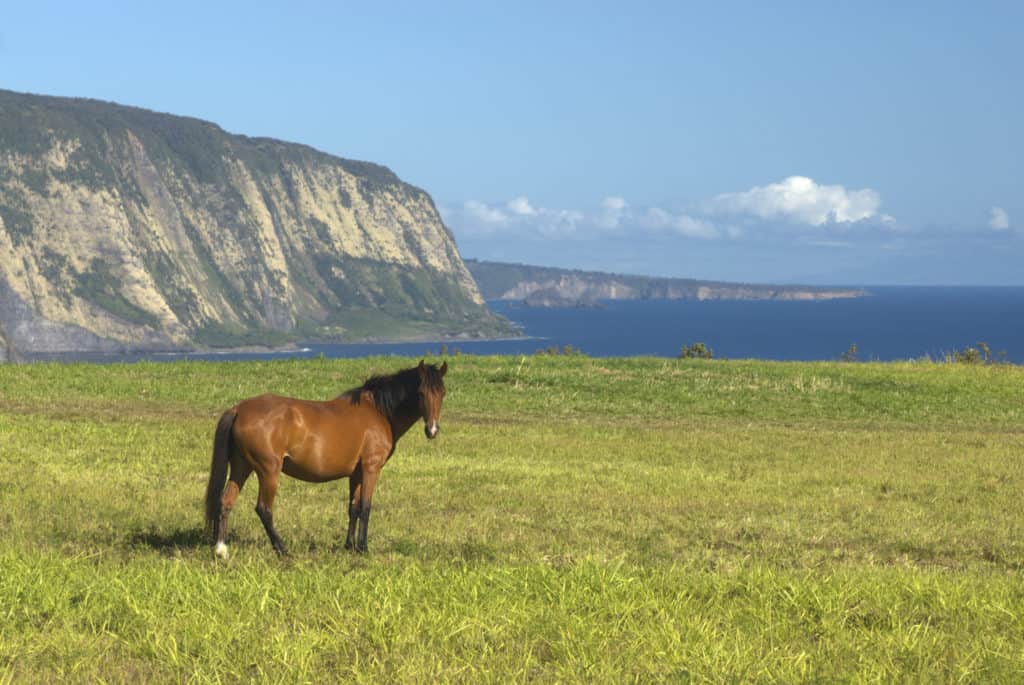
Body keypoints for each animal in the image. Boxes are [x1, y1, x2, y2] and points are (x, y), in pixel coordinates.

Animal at [204, 360, 447, 558]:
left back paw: (221, 549)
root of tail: (239, 409)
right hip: (268, 471)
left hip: (241, 467)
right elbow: (366, 507)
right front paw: (363, 548)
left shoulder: (356, 473)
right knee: (264, 509)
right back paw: (282, 549)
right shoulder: (371, 468)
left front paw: (349, 546)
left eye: (442, 393)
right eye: (421, 392)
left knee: (225, 502)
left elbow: (353, 507)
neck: (378, 411)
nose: (432, 430)